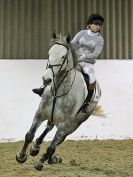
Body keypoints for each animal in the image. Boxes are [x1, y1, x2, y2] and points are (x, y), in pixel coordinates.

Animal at [15, 32, 101, 170]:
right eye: (49, 53)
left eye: (63, 56)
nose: (46, 79)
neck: (58, 90)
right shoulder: (40, 114)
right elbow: (29, 135)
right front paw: (21, 156)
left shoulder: (64, 124)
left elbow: (51, 146)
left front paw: (41, 162)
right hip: (52, 117)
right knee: (48, 128)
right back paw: (36, 148)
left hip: (73, 125)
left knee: (58, 141)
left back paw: (50, 158)